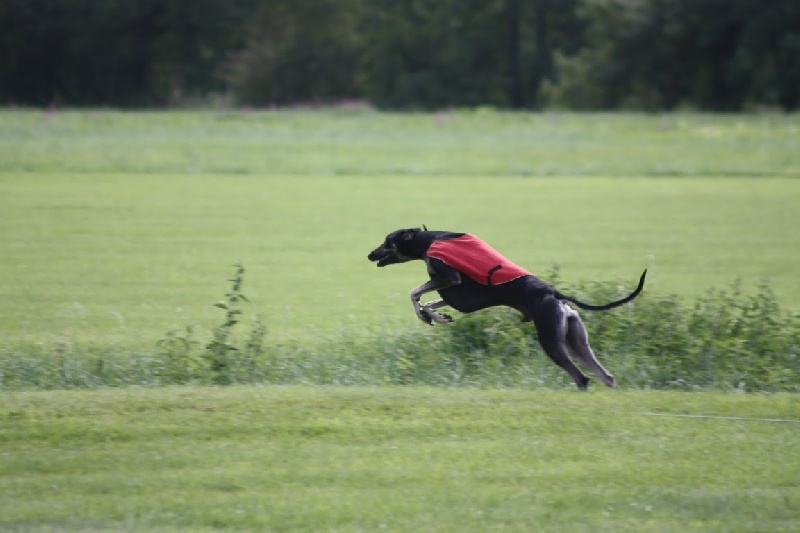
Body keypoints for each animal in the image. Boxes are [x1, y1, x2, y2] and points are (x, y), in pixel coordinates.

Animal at [366, 227, 648, 388]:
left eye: (387, 241)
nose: (369, 254)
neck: (430, 240)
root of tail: (554, 294)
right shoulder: (456, 294)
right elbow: (427, 300)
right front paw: (436, 315)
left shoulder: (450, 280)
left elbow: (414, 293)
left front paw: (428, 315)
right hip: (576, 342)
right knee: (606, 376)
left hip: (551, 340)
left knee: (582, 378)